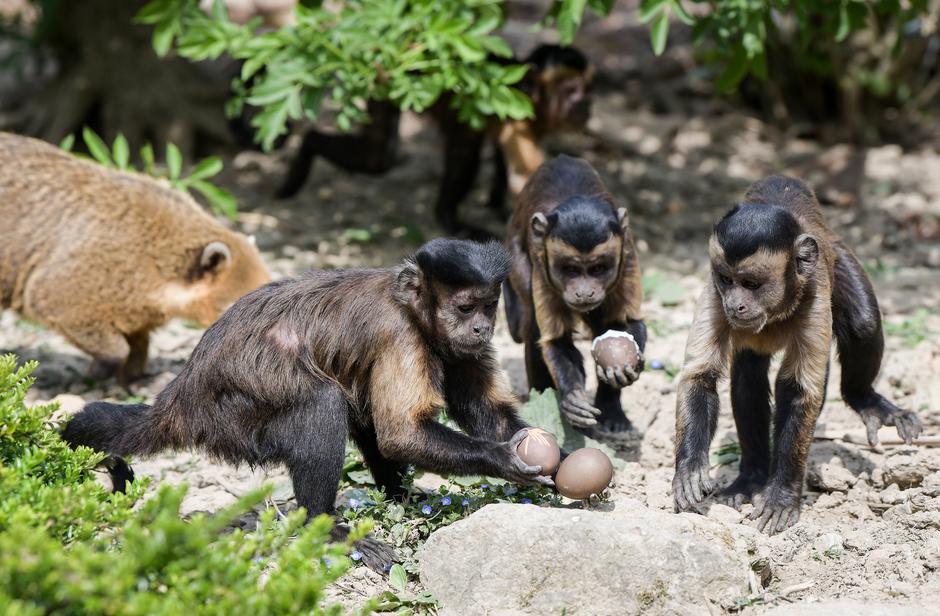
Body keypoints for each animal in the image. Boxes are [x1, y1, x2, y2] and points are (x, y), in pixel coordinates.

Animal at [0, 133, 270, 384]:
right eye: (239, 304)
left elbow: (139, 336)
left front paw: (133, 371)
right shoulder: (88, 269)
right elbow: (54, 301)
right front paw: (104, 366)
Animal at [64, 238, 552, 572]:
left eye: (488, 307)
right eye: (465, 307)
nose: (482, 329)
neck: (413, 309)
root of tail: (181, 394)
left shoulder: (451, 344)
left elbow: (481, 411)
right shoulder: (400, 334)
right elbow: (401, 433)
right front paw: (504, 459)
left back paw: (400, 496)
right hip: (232, 417)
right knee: (323, 401)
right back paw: (327, 528)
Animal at [276, 44, 592, 237]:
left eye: (586, 88)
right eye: (572, 90)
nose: (586, 104)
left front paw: (497, 205)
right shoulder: (519, 118)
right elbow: (524, 175)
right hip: (387, 80)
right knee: (379, 156)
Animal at [506, 156, 648, 440]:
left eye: (597, 268)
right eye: (571, 269)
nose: (584, 292)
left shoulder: (626, 251)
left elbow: (626, 323)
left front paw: (626, 370)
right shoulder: (542, 261)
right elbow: (555, 340)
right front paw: (572, 398)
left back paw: (611, 413)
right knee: (531, 324)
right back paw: (545, 398)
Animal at [676, 174, 924, 536]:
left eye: (751, 283)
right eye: (726, 280)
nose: (735, 305)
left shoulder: (816, 289)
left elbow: (799, 390)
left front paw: (781, 497)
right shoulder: (712, 294)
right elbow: (700, 377)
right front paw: (690, 469)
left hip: (839, 254)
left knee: (863, 323)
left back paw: (866, 400)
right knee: (748, 375)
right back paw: (751, 478)